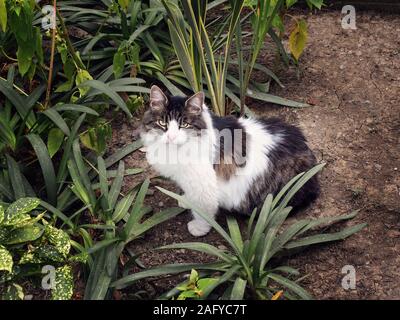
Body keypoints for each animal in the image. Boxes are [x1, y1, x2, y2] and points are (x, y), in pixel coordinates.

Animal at [139, 86, 320, 236]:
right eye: (162, 123)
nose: (171, 137)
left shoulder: (204, 185)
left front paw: (199, 228)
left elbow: (203, 211)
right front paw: (186, 200)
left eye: (184, 125)